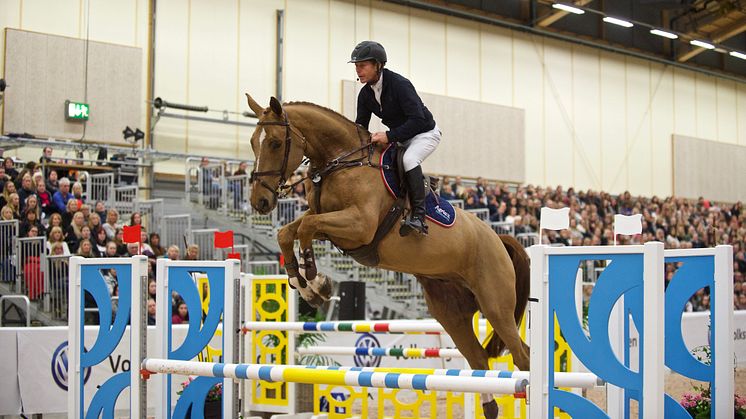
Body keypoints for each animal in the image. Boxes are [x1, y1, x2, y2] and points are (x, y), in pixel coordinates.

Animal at [248, 93, 528, 418]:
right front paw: (302, 284)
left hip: (495, 305)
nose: (260, 201)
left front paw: (317, 284)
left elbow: (305, 228)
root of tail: (498, 238)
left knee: (522, 356)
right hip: (451, 313)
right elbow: (288, 232)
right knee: (479, 360)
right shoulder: (332, 225)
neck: (341, 162)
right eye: (253, 142)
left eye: (275, 143)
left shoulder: (359, 226)